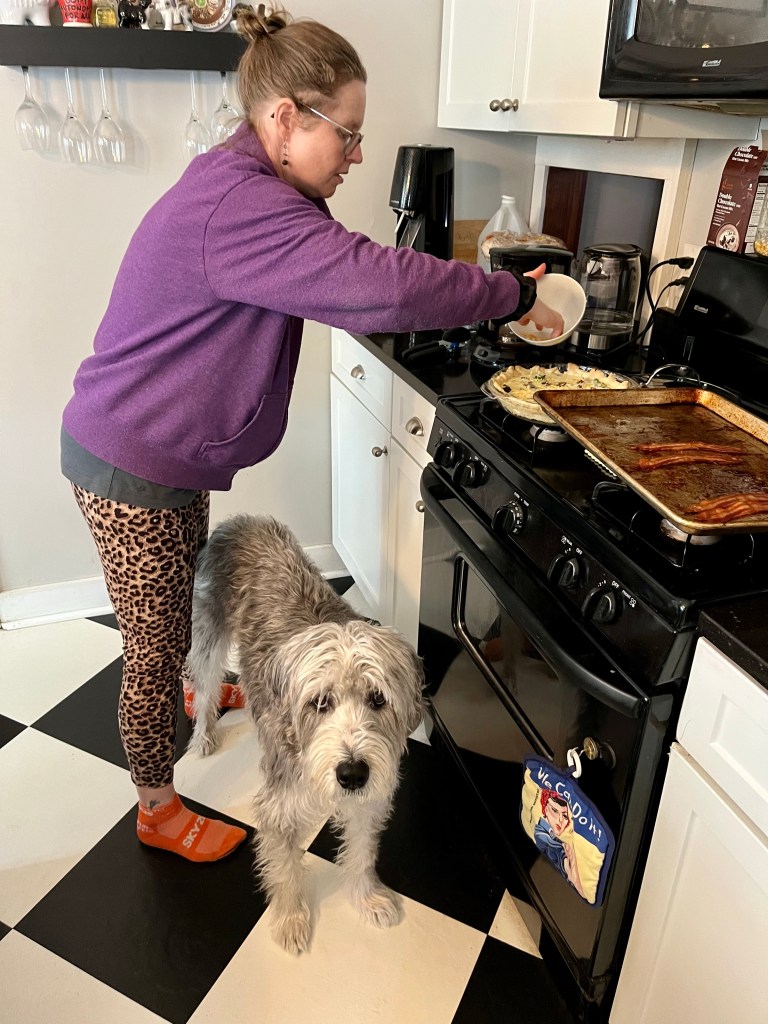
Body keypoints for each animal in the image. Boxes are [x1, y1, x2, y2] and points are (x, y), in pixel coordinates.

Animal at [186, 514, 425, 954]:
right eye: (320, 702)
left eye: (378, 699)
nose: (352, 774)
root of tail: (238, 521)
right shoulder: (277, 806)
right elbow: (285, 870)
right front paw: (291, 919)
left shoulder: (369, 800)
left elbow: (362, 852)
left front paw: (367, 898)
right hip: (209, 636)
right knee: (206, 685)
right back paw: (204, 734)